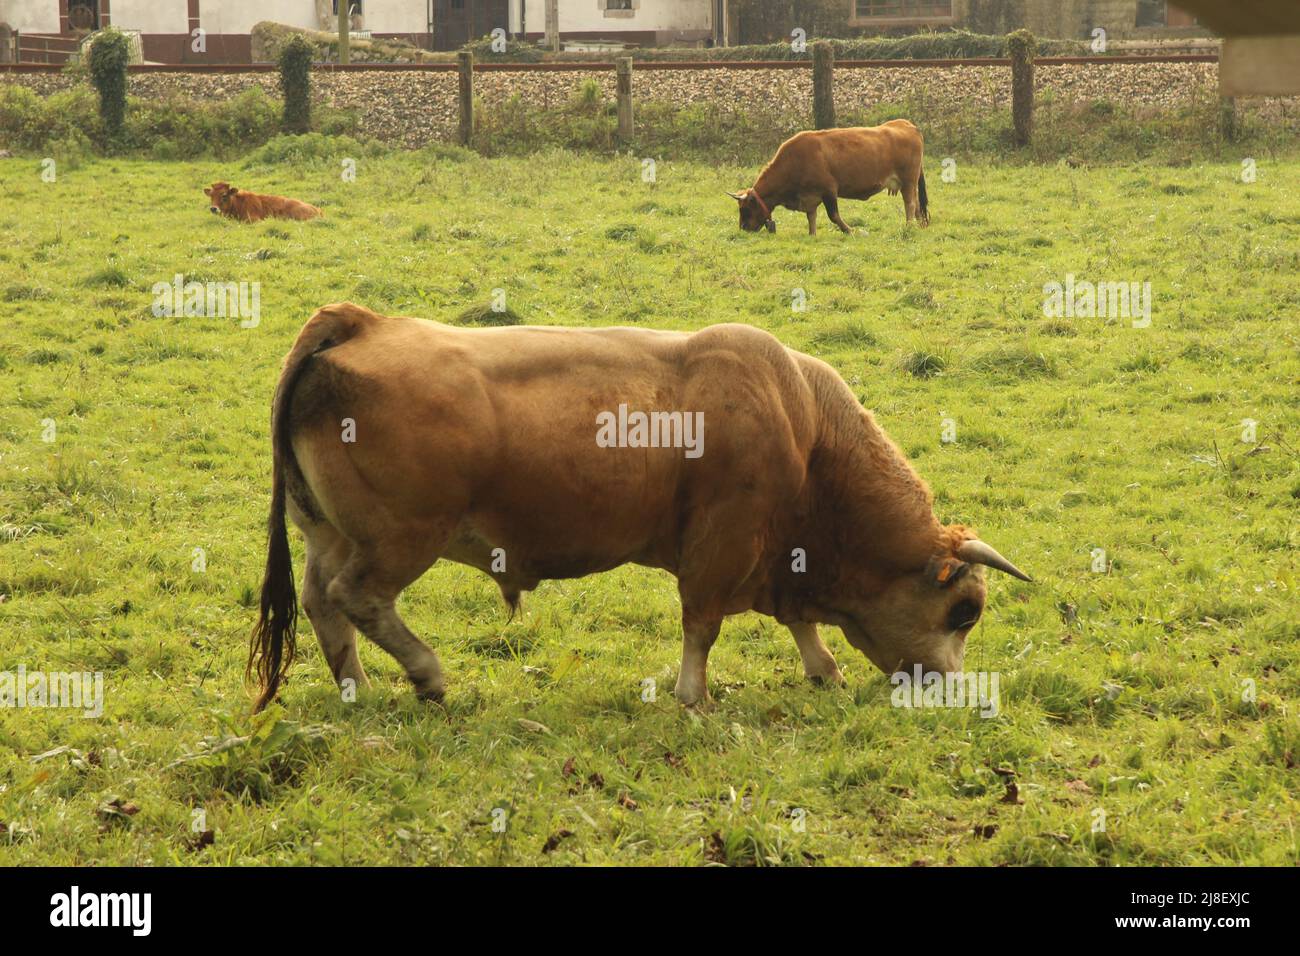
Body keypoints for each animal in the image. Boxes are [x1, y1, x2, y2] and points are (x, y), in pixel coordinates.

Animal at [248, 303, 1029, 712]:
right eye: (964, 611)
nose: (958, 689)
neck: (803, 423)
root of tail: (357, 322)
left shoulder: (779, 555)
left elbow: (799, 619)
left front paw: (823, 668)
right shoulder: (723, 546)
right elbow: (703, 625)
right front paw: (693, 695)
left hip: (327, 534)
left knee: (323, 603)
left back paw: (355, 688)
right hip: (399, 540)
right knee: (357, 597)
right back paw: (427, 673)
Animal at [728, 119, 930, 235]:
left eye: (745, 209)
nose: (743, 229)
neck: (794, 160)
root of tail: (907, 125)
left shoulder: (829, 190)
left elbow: (834, 216)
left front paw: (850, 230)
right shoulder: (810, 197)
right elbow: (811, 217)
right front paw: (812, 234)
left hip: (908, 180)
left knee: (910, 204)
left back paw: (909, 226)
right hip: (909, 183)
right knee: (916, 205)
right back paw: (918, 225)